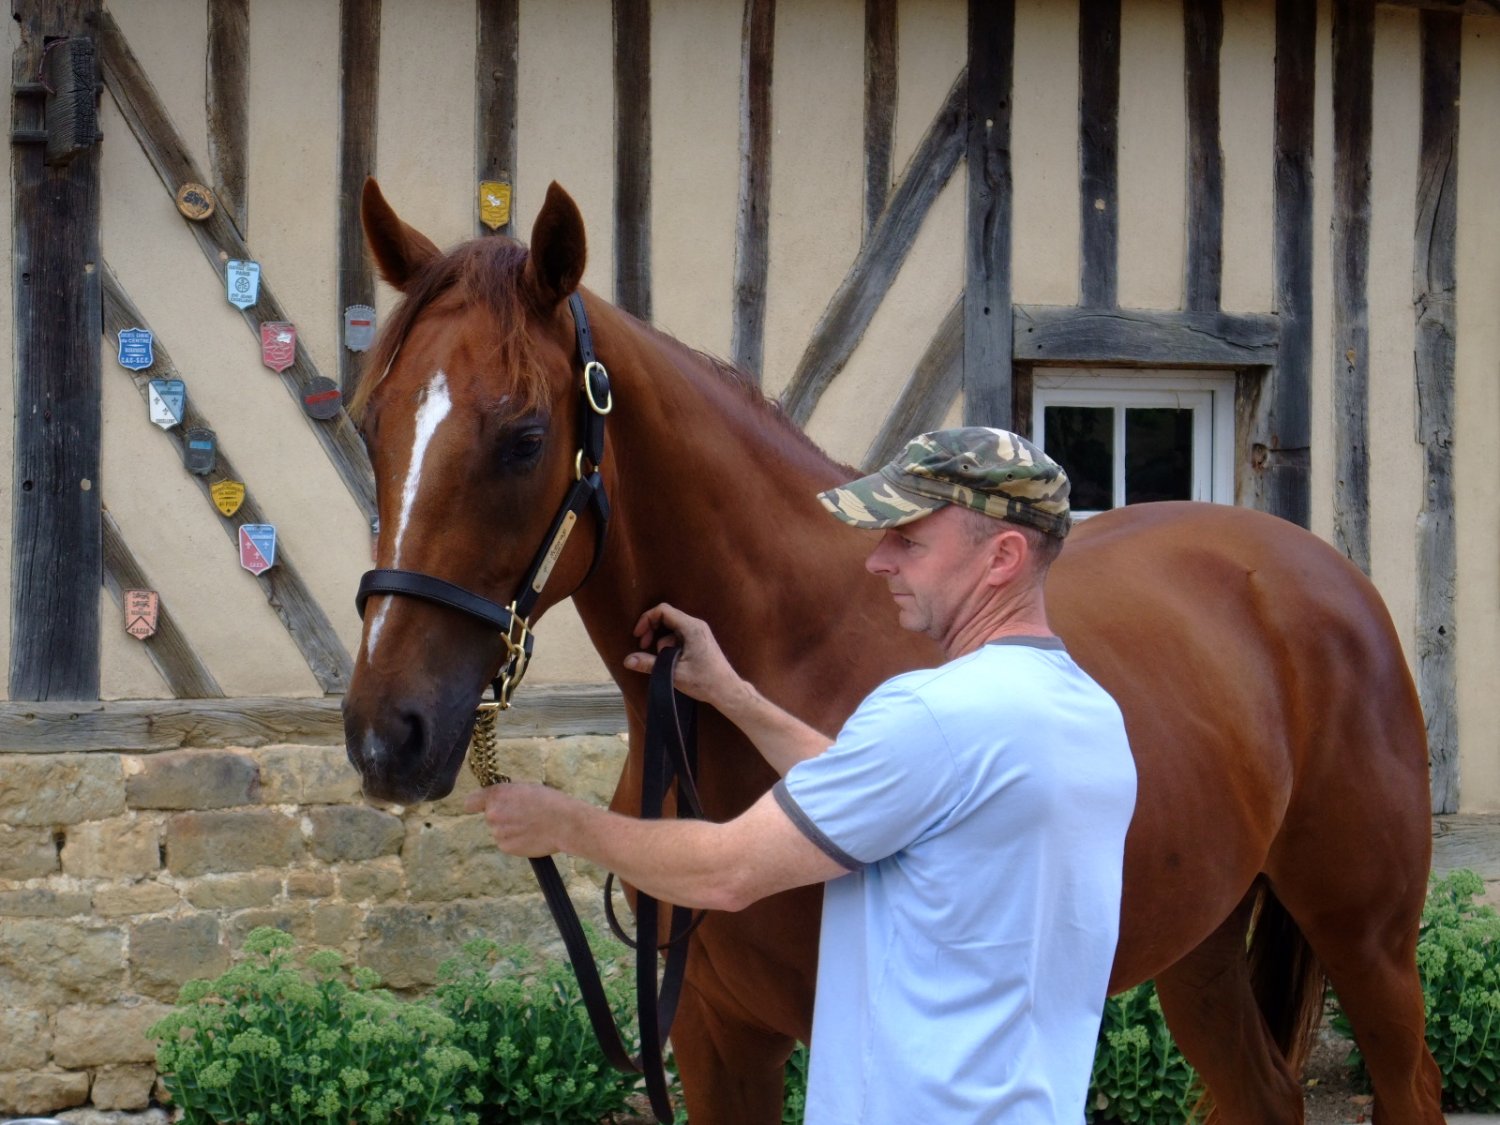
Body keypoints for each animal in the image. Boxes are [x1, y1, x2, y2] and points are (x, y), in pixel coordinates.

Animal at [341, 177, 1443, 1124]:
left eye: (525, 437)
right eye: (366, 423)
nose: (387, 735)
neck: (793, 643)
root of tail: (1323, 573)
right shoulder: (717, 1035)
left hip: (1370, 939)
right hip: (1204, 947)